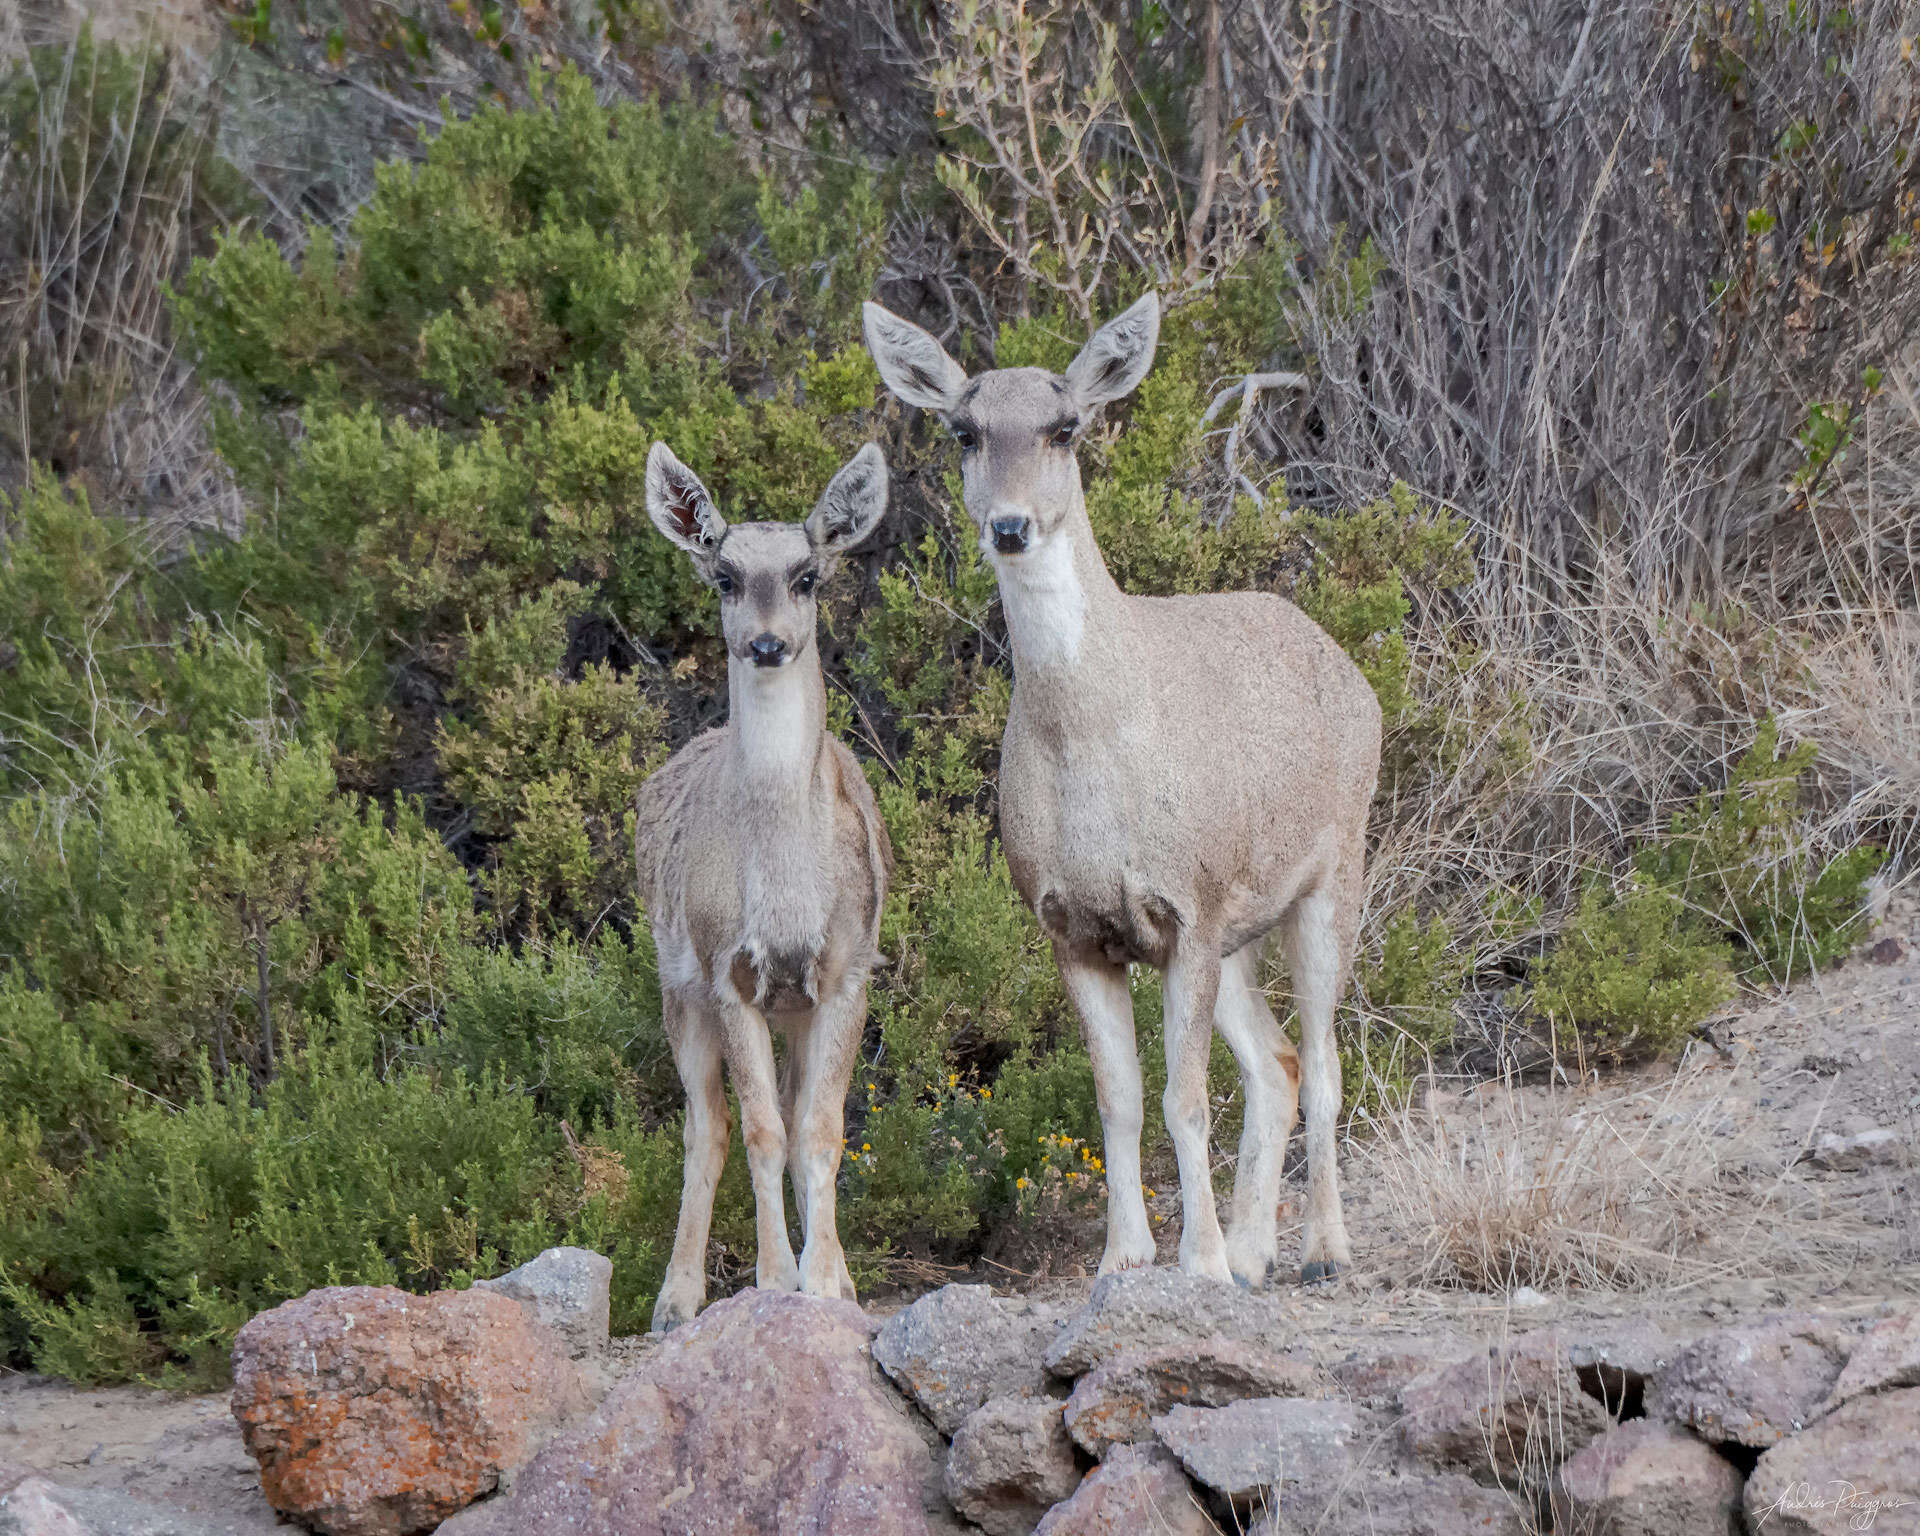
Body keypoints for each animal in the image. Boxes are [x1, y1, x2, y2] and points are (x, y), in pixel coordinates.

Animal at [637, 437, 890, 1328]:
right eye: (724, 575)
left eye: (808, 574)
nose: (770, 643)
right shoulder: (724, 971)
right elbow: (759, 1132)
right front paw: (776, 1279)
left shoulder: (847, 970)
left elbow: (820, 1129)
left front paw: (828, 1284)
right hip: (676, 988)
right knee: (704, 1129)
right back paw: (675, 1298)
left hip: (793, 1008)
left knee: (788, 1109)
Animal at [867, 297, 1382, 1282]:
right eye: (963, 432)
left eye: (1065, 427)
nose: (1011, 526)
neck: (1090, 752)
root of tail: (1349, 668)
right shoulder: (1073, 927)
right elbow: (1122, 1101)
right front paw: (1124, 1259)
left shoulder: (1191, 904)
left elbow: (1185, 1099)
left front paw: (1201, 1263)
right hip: (1241, 930)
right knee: (1279, 1063)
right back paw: (1258, 1252)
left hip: (1333, 873)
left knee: (1329, 1064)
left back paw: (1325, 1250)